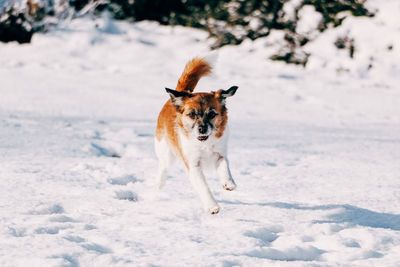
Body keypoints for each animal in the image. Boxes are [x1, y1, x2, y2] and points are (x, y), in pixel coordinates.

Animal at [155, 57, 238, 215]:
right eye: (192, 114)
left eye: (212, 114)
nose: (202, 129)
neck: (204, 144)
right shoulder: (193, 165)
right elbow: (203, 187)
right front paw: (212, 206)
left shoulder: (220, 154)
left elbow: (225, 166)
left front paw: (228, 183)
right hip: (166, 150)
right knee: (163, 166)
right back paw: (159, 184)